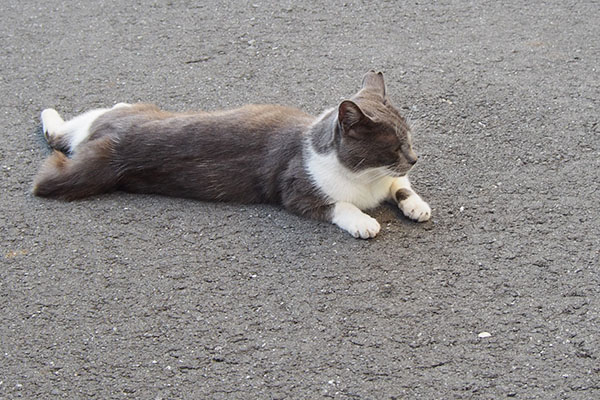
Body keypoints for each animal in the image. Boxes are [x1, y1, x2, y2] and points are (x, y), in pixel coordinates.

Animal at [34, 70, 432, 239]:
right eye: (395, 145)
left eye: (411, 139)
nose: (415, 158)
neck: (366, 179)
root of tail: (107, 137)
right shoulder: (297, 190)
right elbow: (339, 205)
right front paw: (364, 221)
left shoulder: (391, 179)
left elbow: (400, 185)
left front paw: (416, 205)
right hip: (87, 165)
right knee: (51, 162)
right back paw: (48, 112)